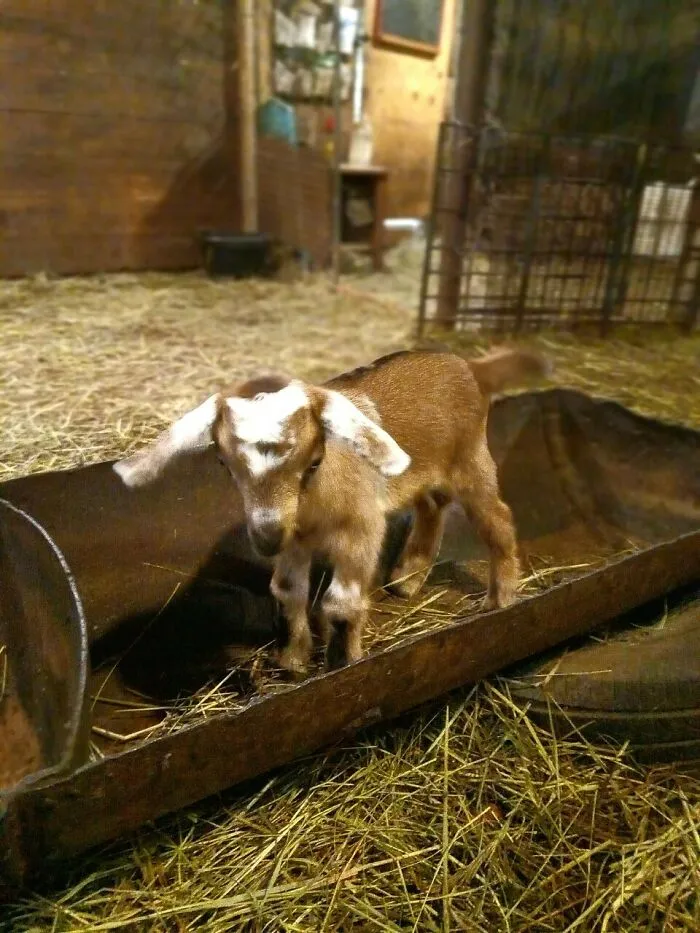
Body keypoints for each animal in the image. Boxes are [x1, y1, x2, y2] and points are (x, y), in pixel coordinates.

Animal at [113, 347, 550, 673]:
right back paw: (409, 577)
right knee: (431, 506)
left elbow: (341, 603)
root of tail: (472, 366)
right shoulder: (293, 539)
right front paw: (292, 659)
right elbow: (286, 590)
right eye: (224, 462)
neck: (311, 505)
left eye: (313, 461)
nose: (266, 539)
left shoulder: (362, 528)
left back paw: (500, 599)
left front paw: (343, 663)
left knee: (497, 519)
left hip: (471, 460)